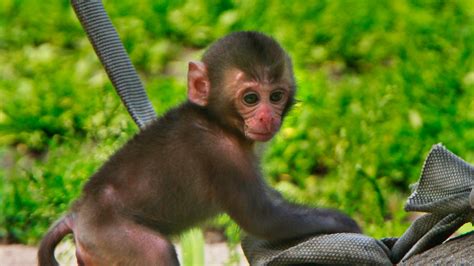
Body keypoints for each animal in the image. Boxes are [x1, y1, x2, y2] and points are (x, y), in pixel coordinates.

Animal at [39, 31, 360, 266]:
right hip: (111, 237)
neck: (216, 121)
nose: (267, 117)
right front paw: (344, 223)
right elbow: (262, 218)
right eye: (251, 98)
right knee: (155, 252)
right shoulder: (222, 156)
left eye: (276, 96)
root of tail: (78, 214)